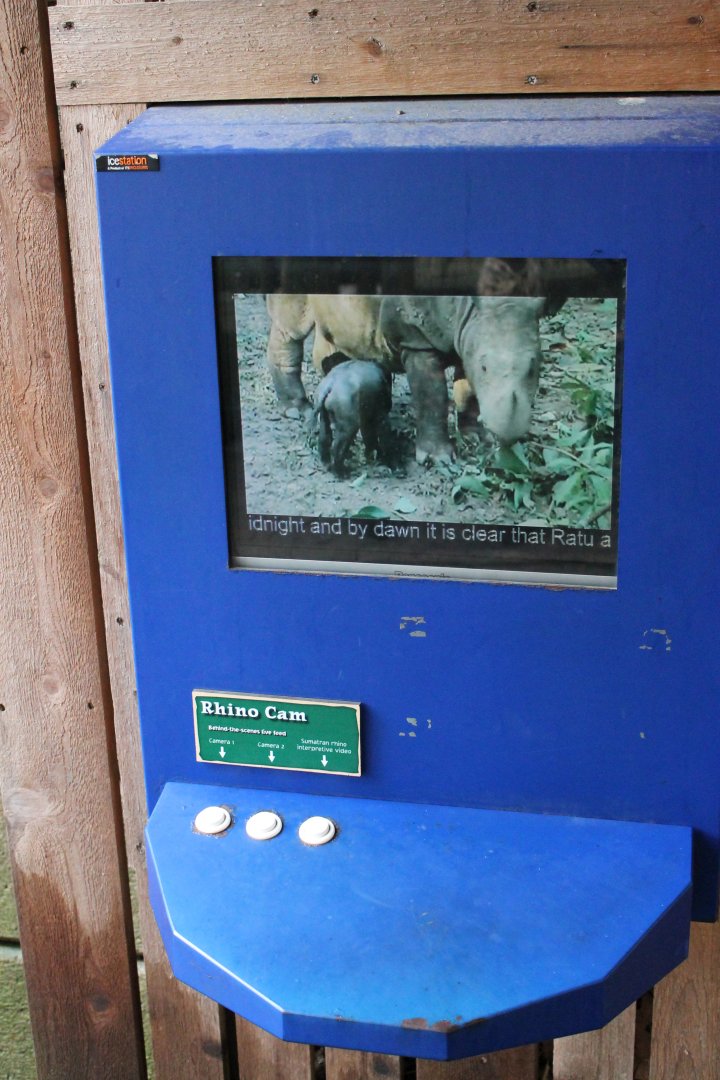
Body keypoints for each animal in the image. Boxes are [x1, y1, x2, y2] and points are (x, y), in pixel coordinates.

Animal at [266, 293, 545, 464]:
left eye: (534, 368)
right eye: (485, 367)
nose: (509, 435)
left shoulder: (468, 335)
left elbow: (467, 386)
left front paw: (477, 437)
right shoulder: (416, 337)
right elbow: (431, 395)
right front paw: (438, 459)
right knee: (292, 326)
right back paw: (296, 410)